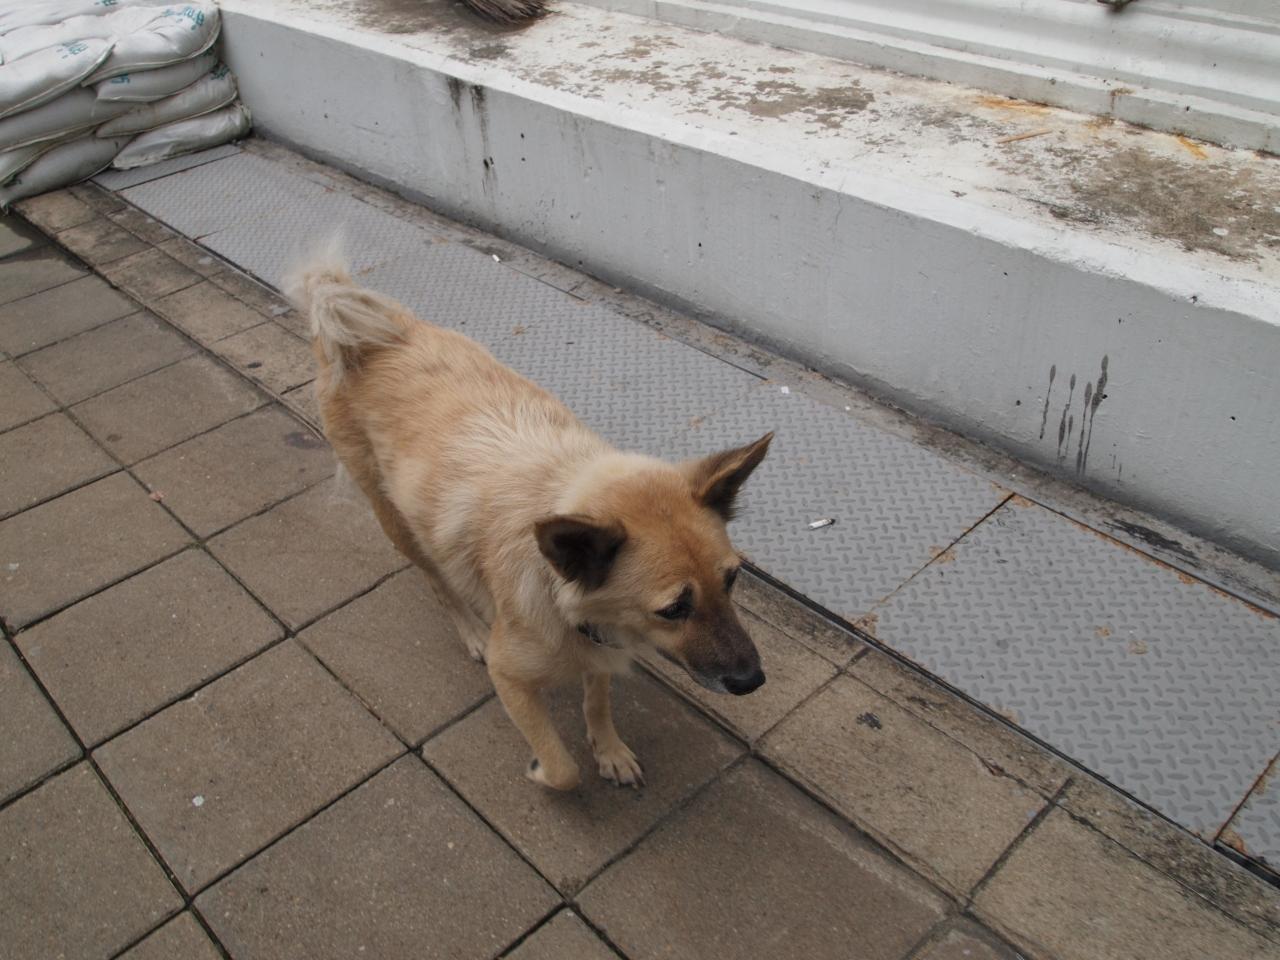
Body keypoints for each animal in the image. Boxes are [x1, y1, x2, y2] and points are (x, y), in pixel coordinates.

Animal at [288, 245, 770, 791]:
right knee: (437, 579)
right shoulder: (510, 677)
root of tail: (365, 334)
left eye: (731, 580)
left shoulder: (600, 648)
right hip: (398, 521)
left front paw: (608, 749)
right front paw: (544, 769)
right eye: (673, 609)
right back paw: (470, 630)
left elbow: (597, 700)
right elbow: (563, 769)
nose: (753, 681)